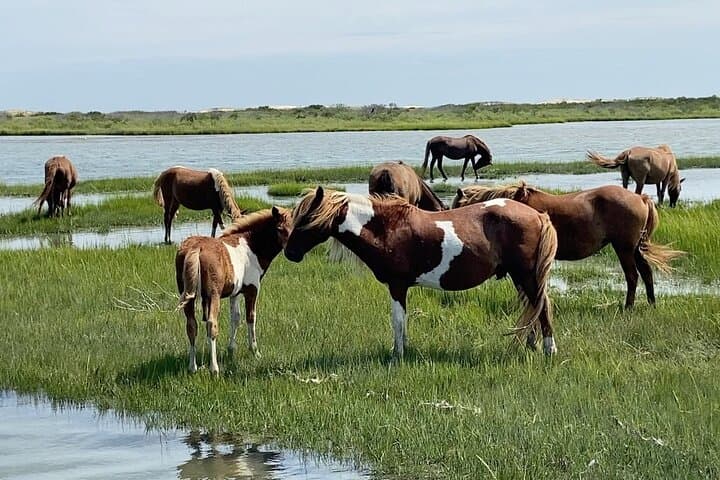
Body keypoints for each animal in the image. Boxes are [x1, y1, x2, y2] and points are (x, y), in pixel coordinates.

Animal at [175, 207, 292, 374]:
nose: (290, 252)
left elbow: (235, 317)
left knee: (191, 326)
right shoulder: (252, 289)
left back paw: (193, 367)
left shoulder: (234, 293)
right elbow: (251, 317)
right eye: (279, 229)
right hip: (213, 295)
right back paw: (214, 369)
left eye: (293, 227)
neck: (251, 245)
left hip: (188, 296)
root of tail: (196, 248)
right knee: (211, 324)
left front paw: (231, 349)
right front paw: (255, 351)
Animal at [284, 187, 559, 358]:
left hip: (527, 275)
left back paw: (549, 350)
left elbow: (397, 320)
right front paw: (403, 350)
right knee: (532, 308)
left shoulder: (397, 285)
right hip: (519, 277)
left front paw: (397, 354)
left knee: (542, 307)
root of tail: (538, 215)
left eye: (306, 220)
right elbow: (402, 321)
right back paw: (531, 345)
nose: (290, 253)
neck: (388, 228)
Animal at [452, 182, 684, 308]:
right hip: (634, 248)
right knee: (646, 272)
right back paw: (651, 303)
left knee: (633, 276)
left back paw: (628, 306)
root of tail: (641, 198)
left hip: (624, 248)